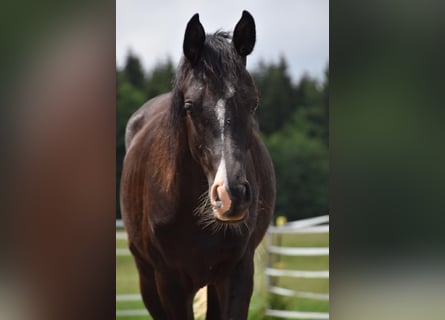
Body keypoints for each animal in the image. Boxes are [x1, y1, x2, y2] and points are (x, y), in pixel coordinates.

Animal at [119, 10, 276, 320]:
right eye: (189, 105)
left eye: (253, 104)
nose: (231, 195)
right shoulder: (169, 283)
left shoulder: (238, 274)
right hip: (148, 281)